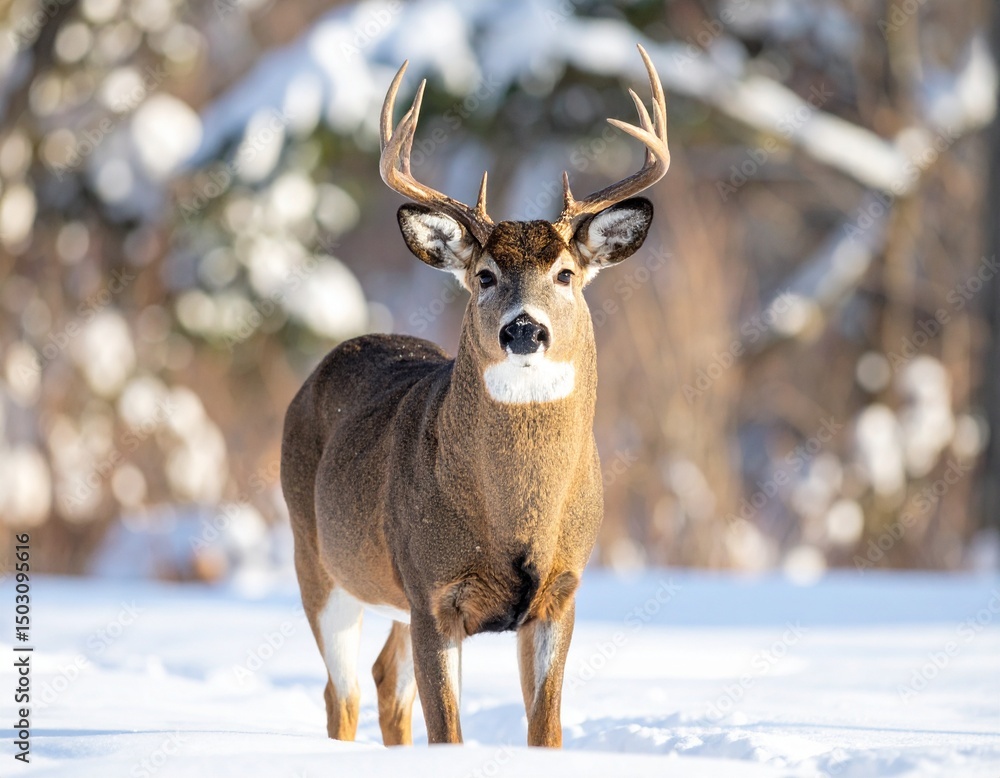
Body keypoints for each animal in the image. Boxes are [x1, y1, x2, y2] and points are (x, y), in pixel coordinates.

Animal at [280, 44, 669, 748]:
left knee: (384, 682)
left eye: (565, 273)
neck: (513, 518)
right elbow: (449, 732)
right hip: (318, 560)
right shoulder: (432, 590)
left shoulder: (560, 593)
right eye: (484, 275)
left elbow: (545, 728)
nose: (524, 328)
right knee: (341, 694)